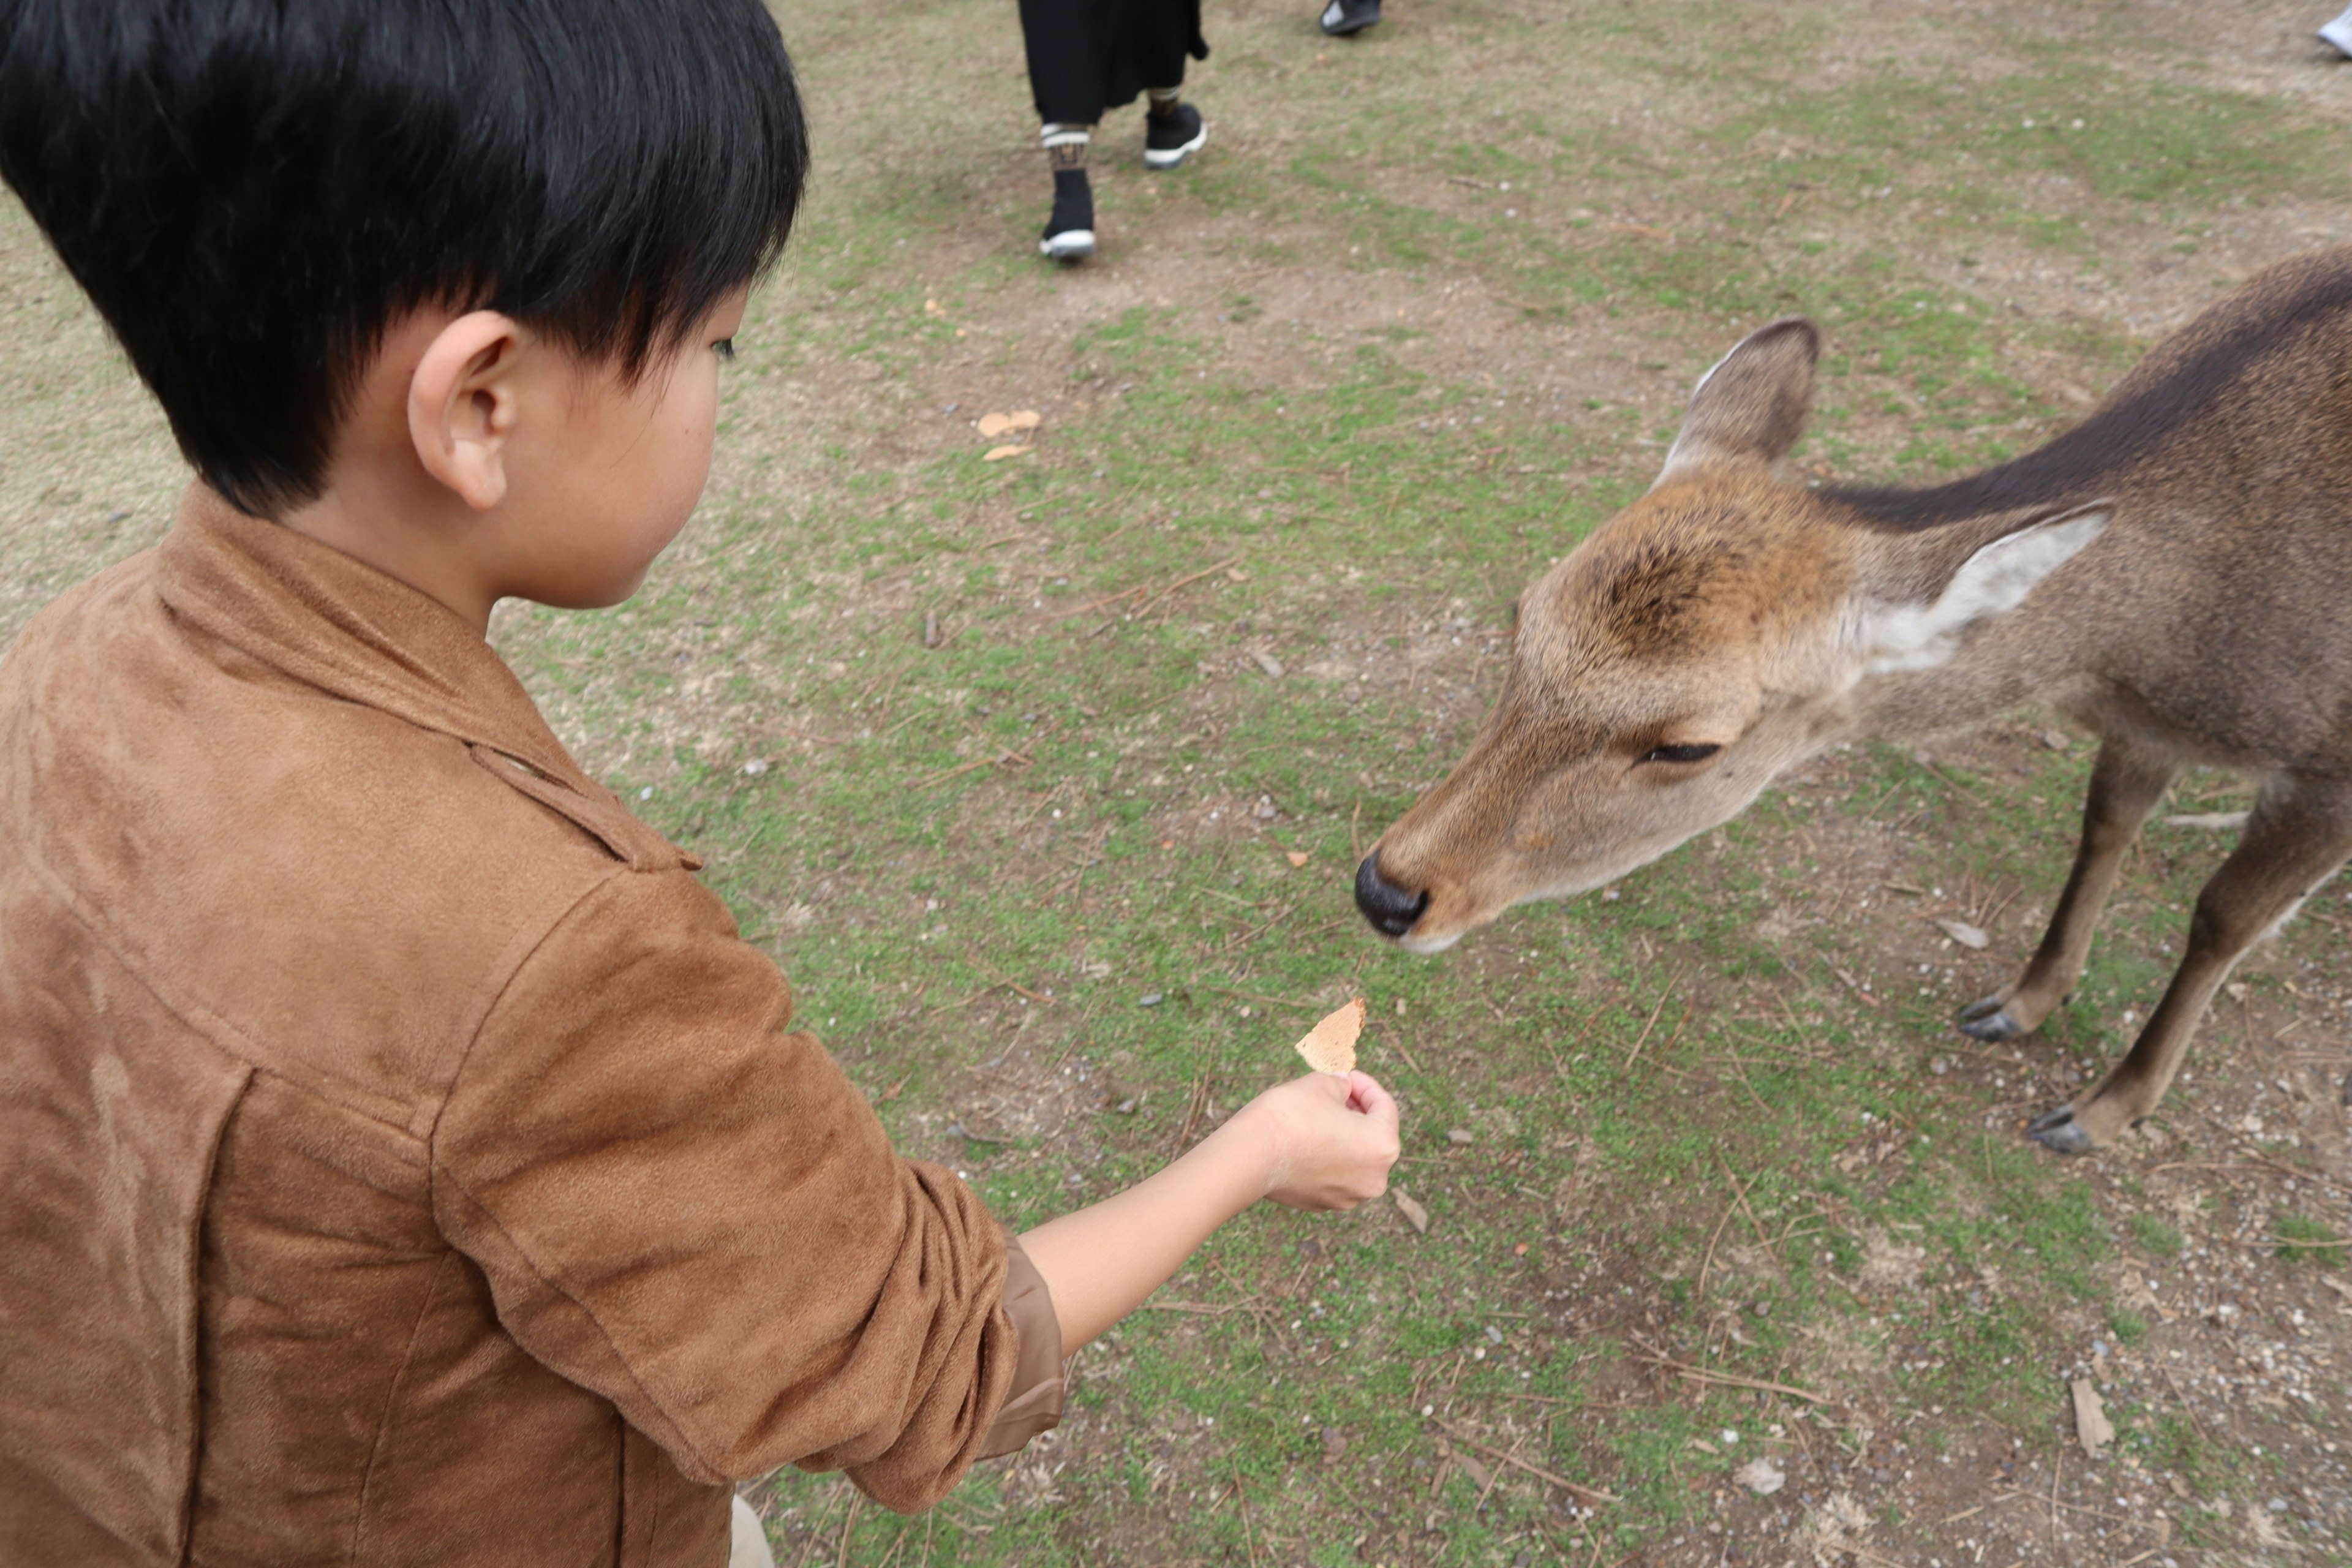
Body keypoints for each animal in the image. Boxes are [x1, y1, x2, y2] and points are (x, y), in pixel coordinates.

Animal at [1354, 246, 2352, 1152]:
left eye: (1688, 745)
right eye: (1520, 615)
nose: (1388, 891)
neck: (2157, 651)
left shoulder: (2328, 771)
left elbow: (2224, 917)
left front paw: (2099, 1113)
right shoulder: (2146, 730)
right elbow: (2105, 824)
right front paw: (2017, 1003)